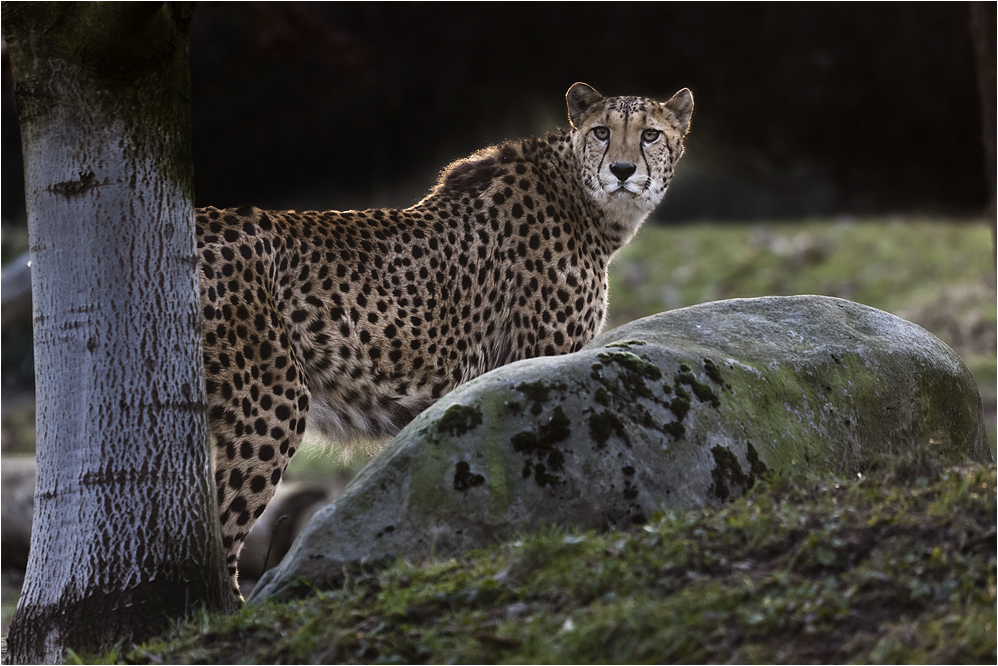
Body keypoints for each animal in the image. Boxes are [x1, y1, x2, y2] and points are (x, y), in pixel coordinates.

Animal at [195, 80, 696, 592]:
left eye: (650, 135)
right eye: (601, 132)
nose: (622, 170)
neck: (583, 197)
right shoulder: (538, 363)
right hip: (271, 400)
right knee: (222, 536)